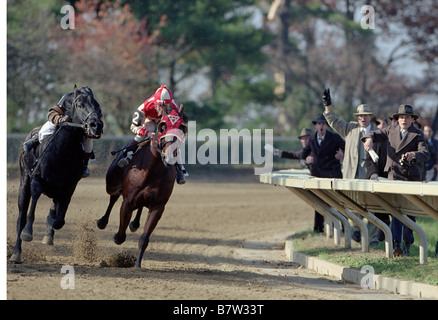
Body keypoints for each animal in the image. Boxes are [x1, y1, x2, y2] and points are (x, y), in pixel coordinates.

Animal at [9, 85, 104, 262]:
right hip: (24, 181)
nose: (96, 125)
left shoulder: (69, 187)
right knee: (21, 217)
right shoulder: (36, 179)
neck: (63, 153)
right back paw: (16, 253)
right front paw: (27, 233)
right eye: (79, 105)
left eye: (97, 106)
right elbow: (32, 207)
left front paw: (49, 230)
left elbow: (59, 220)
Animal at [97, 105, 186, 268]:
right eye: (162, 126)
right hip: (112, 182)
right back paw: (102, 222)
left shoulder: (158, 206)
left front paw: (137, 264)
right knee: (114, 197)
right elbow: (120, 235)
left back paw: (134, 224)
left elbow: (144, 237)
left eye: (182, 127)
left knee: (139, 207)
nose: (170, 155)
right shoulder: (128, 201)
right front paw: (116, 236)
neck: (152, 170)